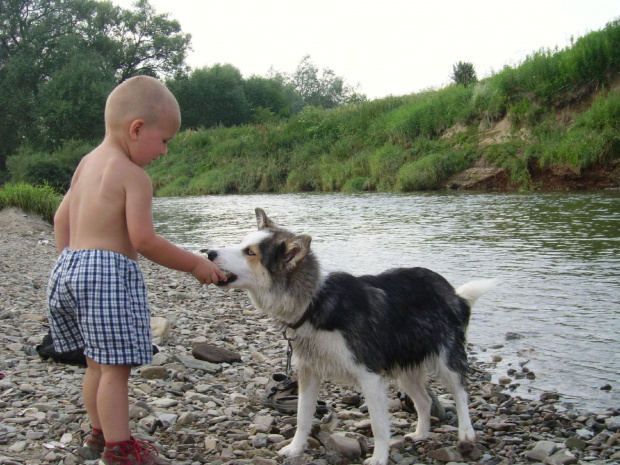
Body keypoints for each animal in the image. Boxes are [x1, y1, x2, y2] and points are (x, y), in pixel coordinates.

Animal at [211, 208, 496, 464]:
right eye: (242, 243)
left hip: (445, 358)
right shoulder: (309, 372)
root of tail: (453, 293)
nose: (209, 252)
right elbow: (302, 416)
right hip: (404, 367)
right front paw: (295, 448)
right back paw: (420, 434)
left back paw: (466, 433)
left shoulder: (369, 375)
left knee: (460, 392)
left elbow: (379, 425)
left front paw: (379, 458)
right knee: (424, 401)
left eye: (250, 252)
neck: (316, 302)